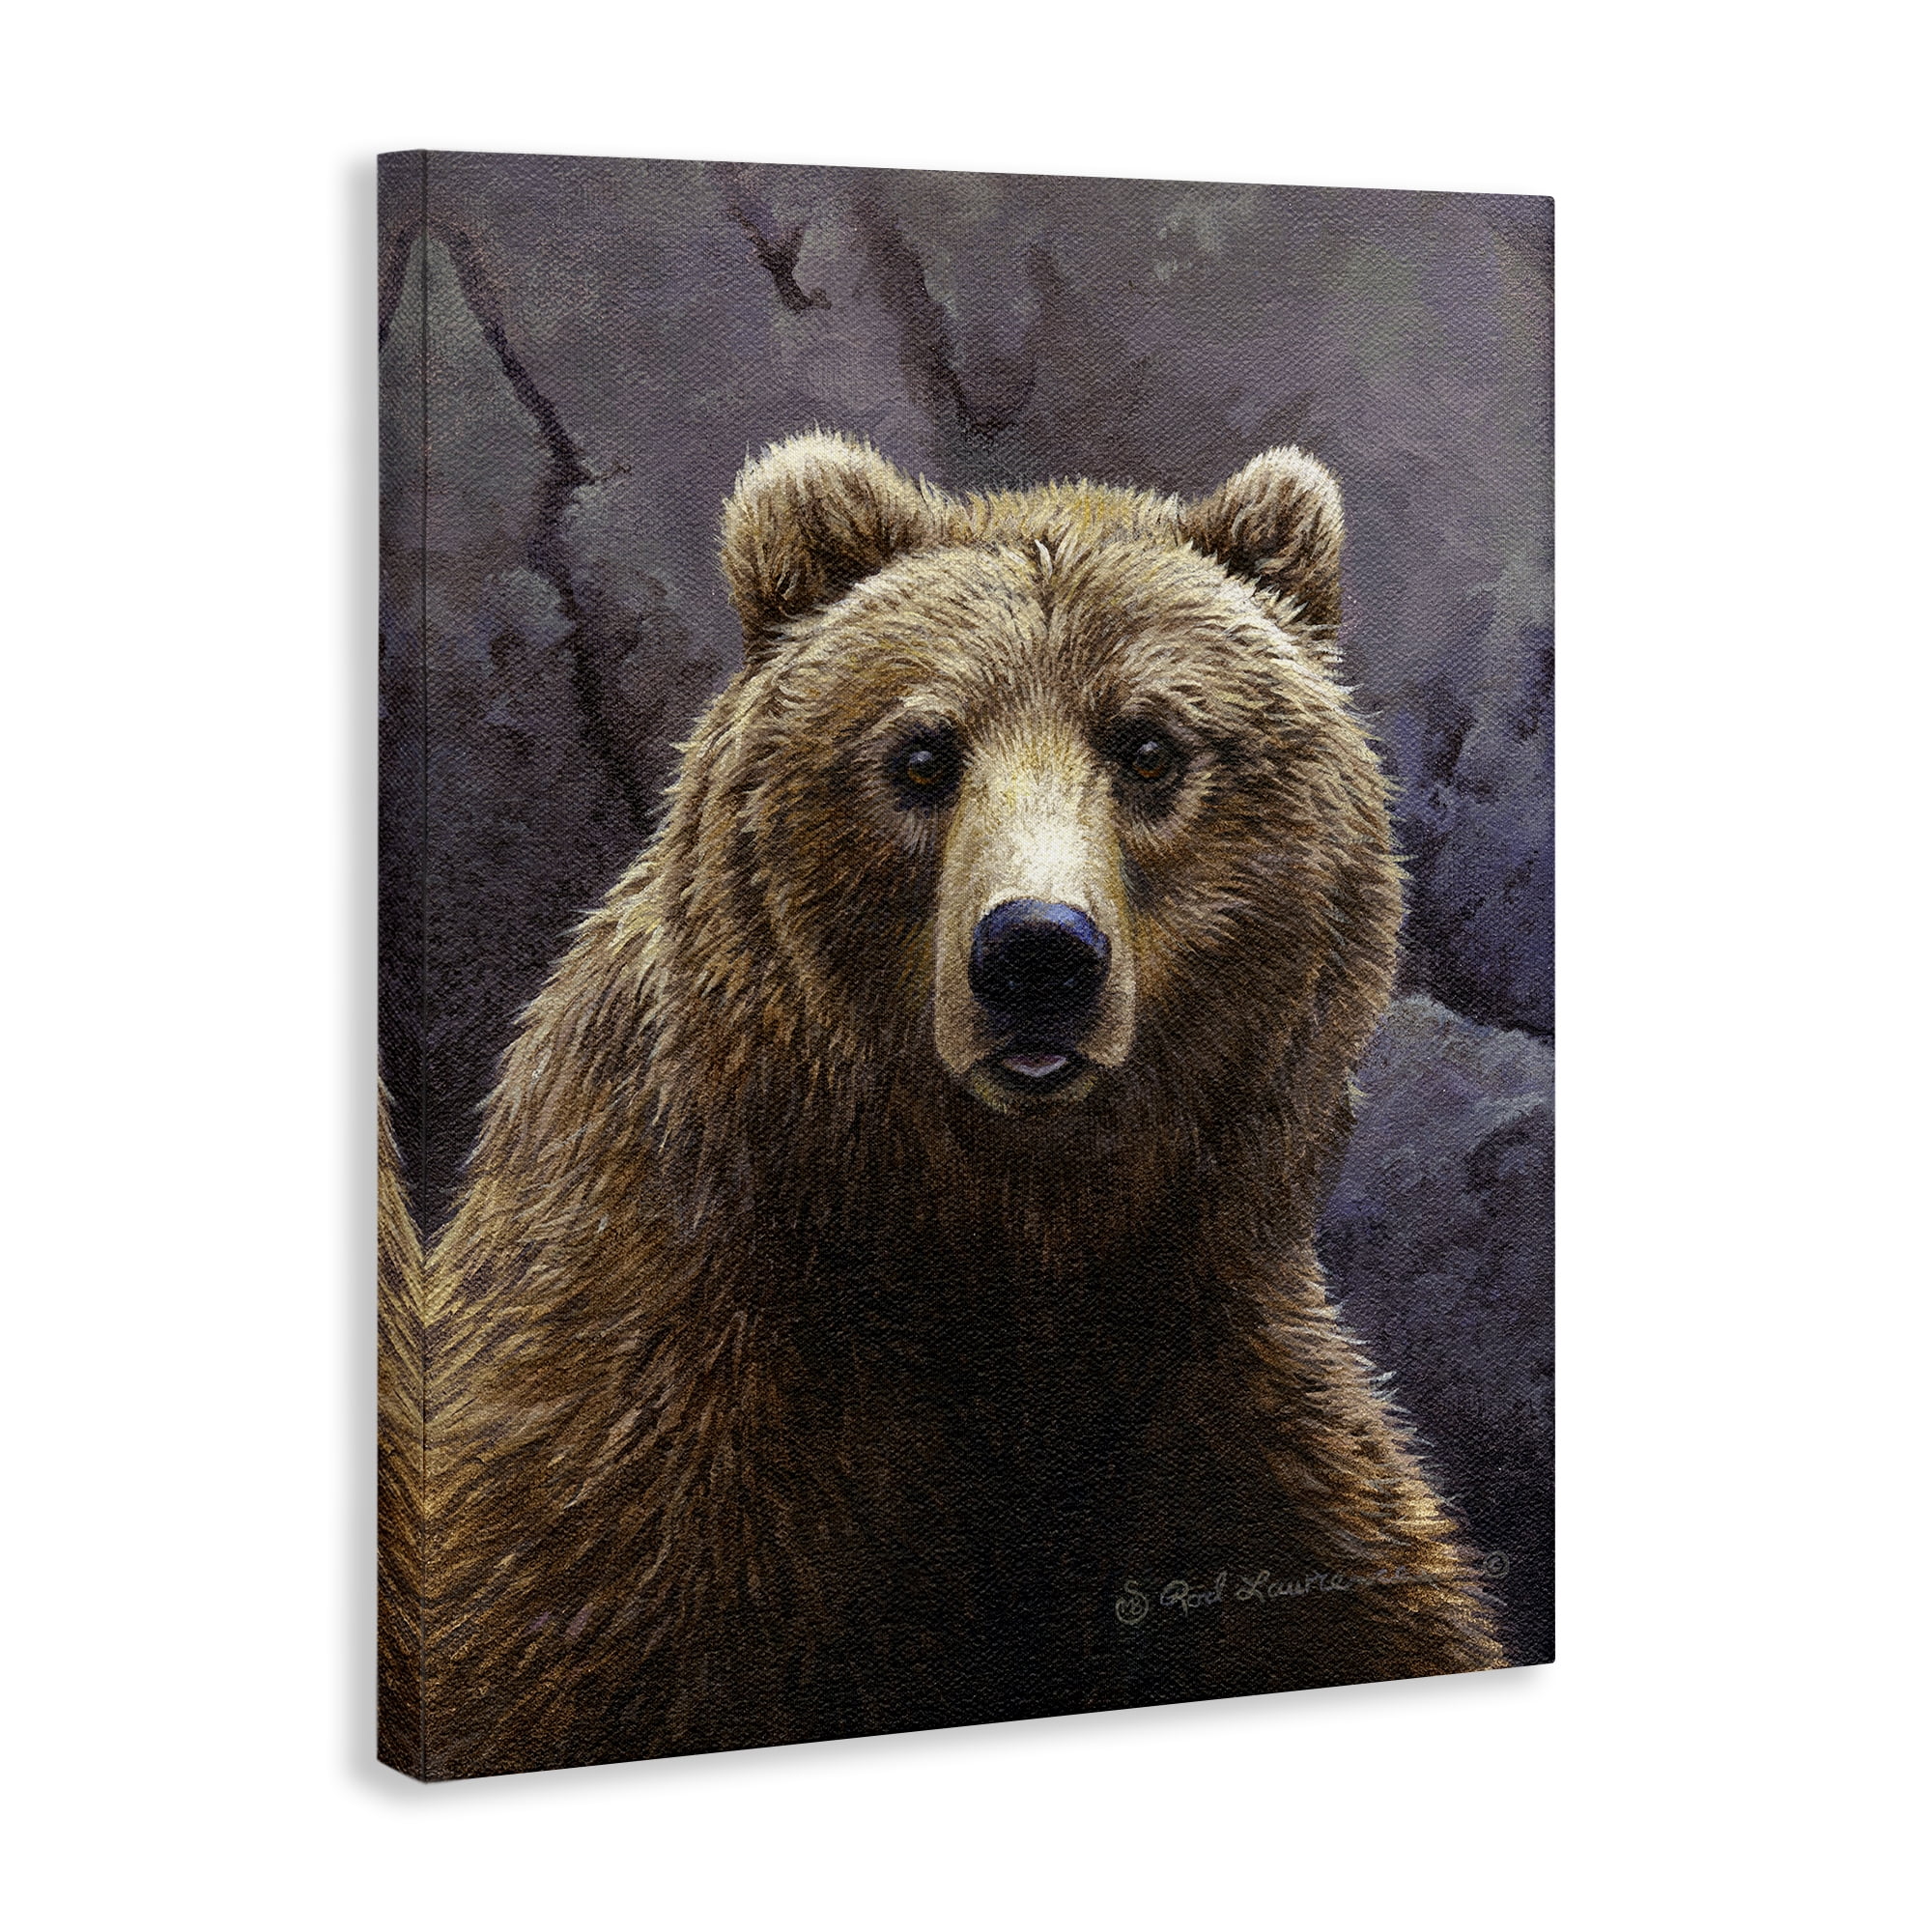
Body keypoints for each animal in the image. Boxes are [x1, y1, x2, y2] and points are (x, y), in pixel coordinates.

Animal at [401, 431, 1504, 1780]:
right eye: (921, 753)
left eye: (1147, 745)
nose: (1036, 951)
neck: (995, 1240)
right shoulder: (635, 1446)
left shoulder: (1213, 1390)